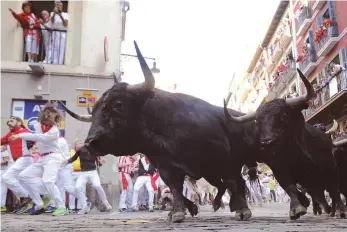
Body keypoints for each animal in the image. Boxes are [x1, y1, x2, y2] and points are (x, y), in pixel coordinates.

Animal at [60, 41, 260, 223]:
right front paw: (179, 211)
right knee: (222, 185)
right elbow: (175, 188)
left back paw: (236, 206)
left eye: (118, 105)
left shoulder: (224, 160)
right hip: (210, 171)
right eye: (93, 112)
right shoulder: (166, 166)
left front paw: (242, 210)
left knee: (235, 183)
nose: (91, 142)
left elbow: (231, 182)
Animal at [226, 68, 347, 219]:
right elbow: (290, 188)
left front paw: (341, 210)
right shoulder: (280, 169)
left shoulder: (330, 168)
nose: (267, 143)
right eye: (258, 123)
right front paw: (296, 208)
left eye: (282, 117)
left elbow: (334, 189)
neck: (295, 152)